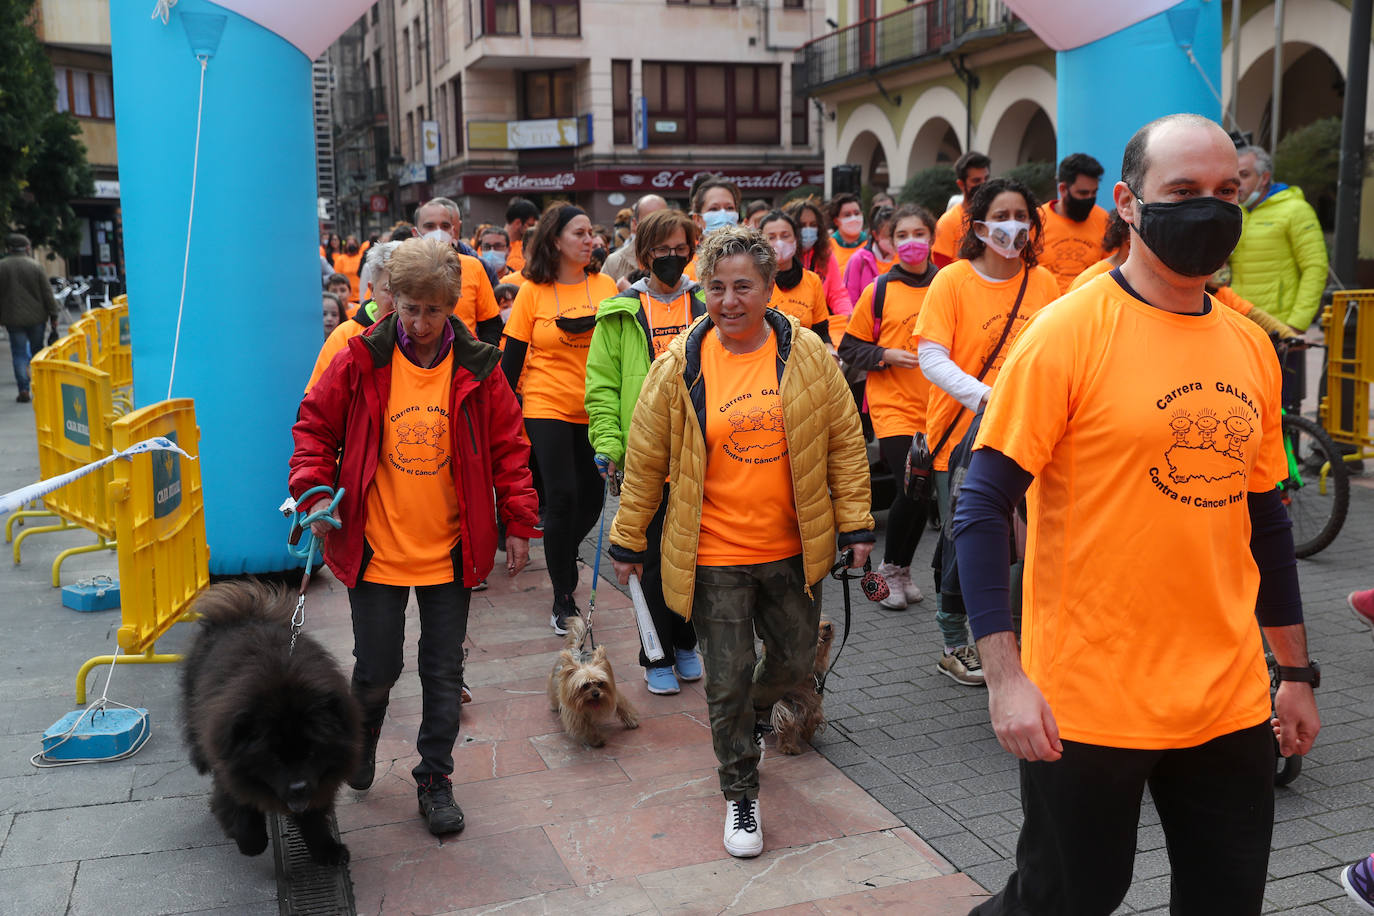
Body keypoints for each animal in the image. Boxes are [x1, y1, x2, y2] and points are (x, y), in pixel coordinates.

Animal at [182, 585, 365, 862]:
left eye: (312, 753)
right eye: (273, 759)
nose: (298, 787)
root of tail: (239, 616)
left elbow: (314, 817)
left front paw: (327, 850)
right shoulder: (230, 767)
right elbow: (238, 807)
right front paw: (251, 842)